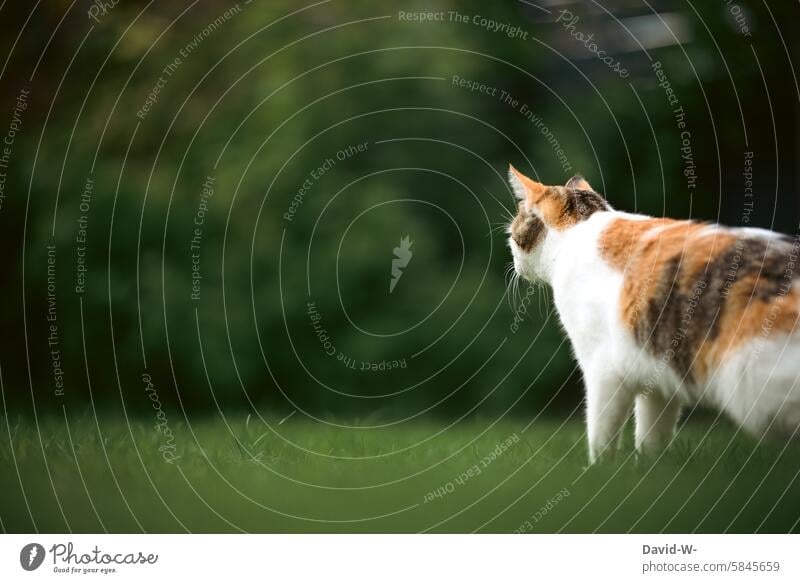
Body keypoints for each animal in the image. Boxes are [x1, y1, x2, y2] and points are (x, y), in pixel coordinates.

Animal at [506, 165, 800, 466]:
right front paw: (650, 468)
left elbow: (602, 432)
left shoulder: (604, 368)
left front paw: (599, 470)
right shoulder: (655, 370)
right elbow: (652, 434)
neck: (582, 228)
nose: (513, 260)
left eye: (513, 232)